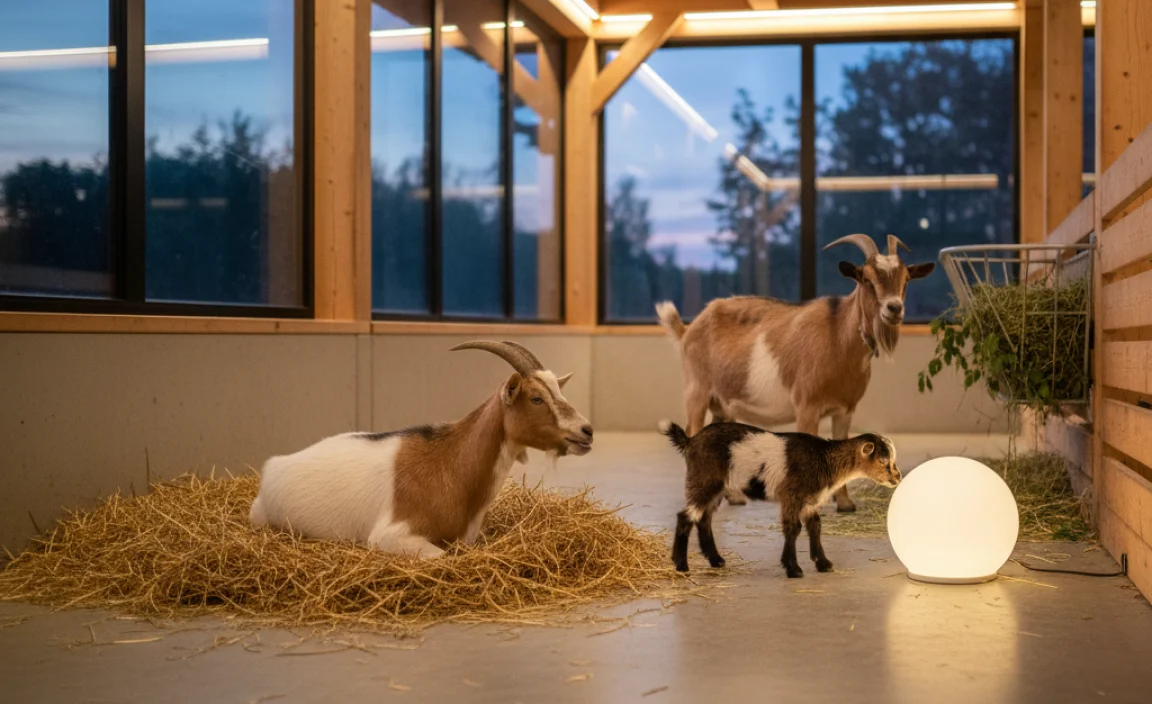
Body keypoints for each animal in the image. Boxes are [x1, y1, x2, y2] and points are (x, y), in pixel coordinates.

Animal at [249, 340, 593, 559]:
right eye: (536, 398)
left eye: (559, 391)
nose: (586, 431)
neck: (449, 461)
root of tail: (274, 465)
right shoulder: (390, 536)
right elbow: (444, 557)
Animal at [656, 233, 931, 513]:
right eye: (866, 278)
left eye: (906, 278)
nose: (894, 308)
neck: (838, 336)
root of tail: (688, 329)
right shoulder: (807, 406)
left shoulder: (845, 410)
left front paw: (845, 503)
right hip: (697, 390)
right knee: (693, 430)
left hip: (723, 403)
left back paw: (733, 497)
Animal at [660, 420, 900, 577]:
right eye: (883, 460)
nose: (897, 477)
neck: (824, 458)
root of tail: (690, 441)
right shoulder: (792, 495)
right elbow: (793, 528)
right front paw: (793, 568)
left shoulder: (810, 501)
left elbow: (815, 526)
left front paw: (823, 564)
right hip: (704, 480)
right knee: (685, 516)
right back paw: (681, 565)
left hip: (717, 488)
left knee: (704, 519)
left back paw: (716, 560)